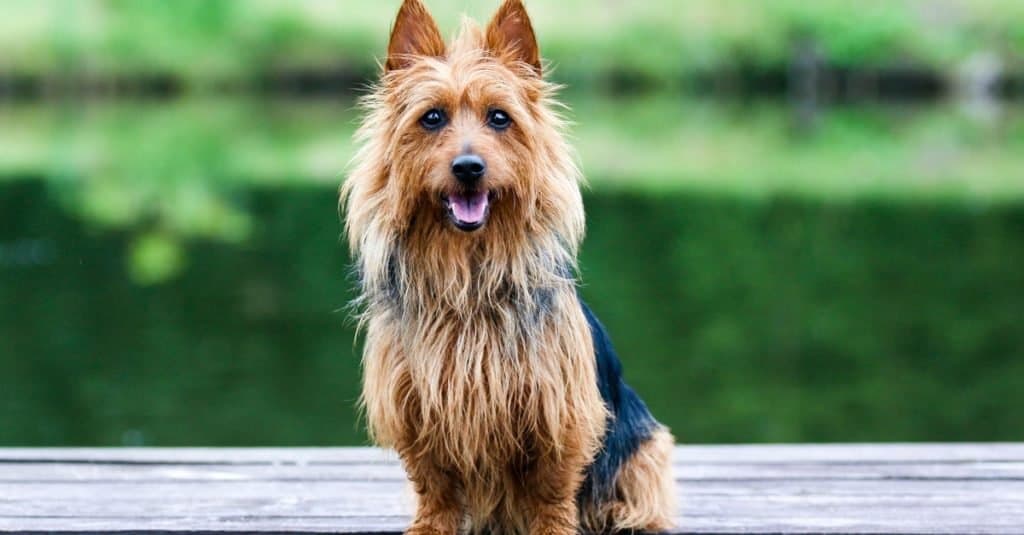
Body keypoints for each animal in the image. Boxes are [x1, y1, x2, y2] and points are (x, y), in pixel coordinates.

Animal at [344, 1, 675, 528]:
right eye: (431, 117)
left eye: (500, 118)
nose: (468, 167)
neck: (469, 273)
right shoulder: (412, 402)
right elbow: (433, 483)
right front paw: (430, 527)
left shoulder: (557, 407)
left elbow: (551, 487)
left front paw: (554, 528)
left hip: (647, 448)